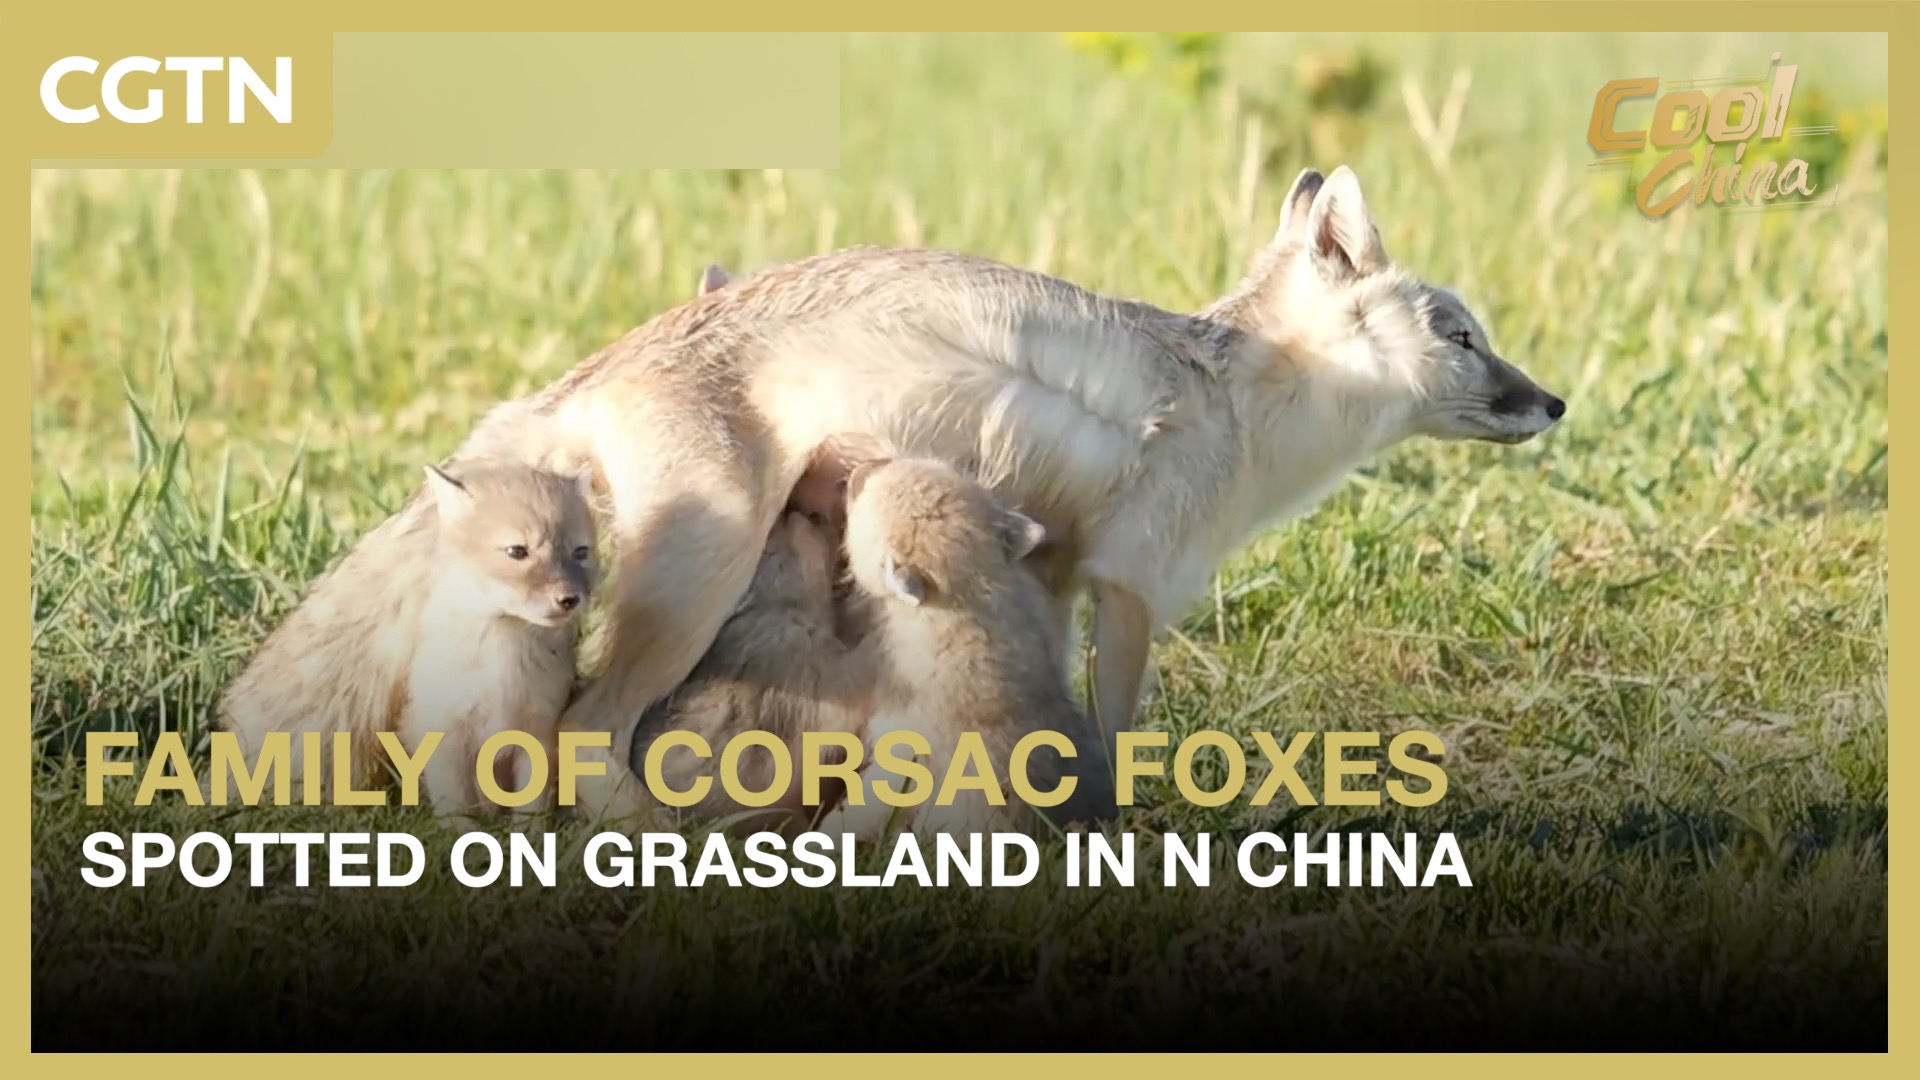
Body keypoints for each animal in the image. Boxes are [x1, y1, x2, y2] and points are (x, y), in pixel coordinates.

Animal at [218, 461, 596, 814]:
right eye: (517, 551)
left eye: (581, 552)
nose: (569, 599)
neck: (502, 662)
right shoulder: (444, 739)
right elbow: (458, 811)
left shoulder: (536, 736)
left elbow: (530, 813)